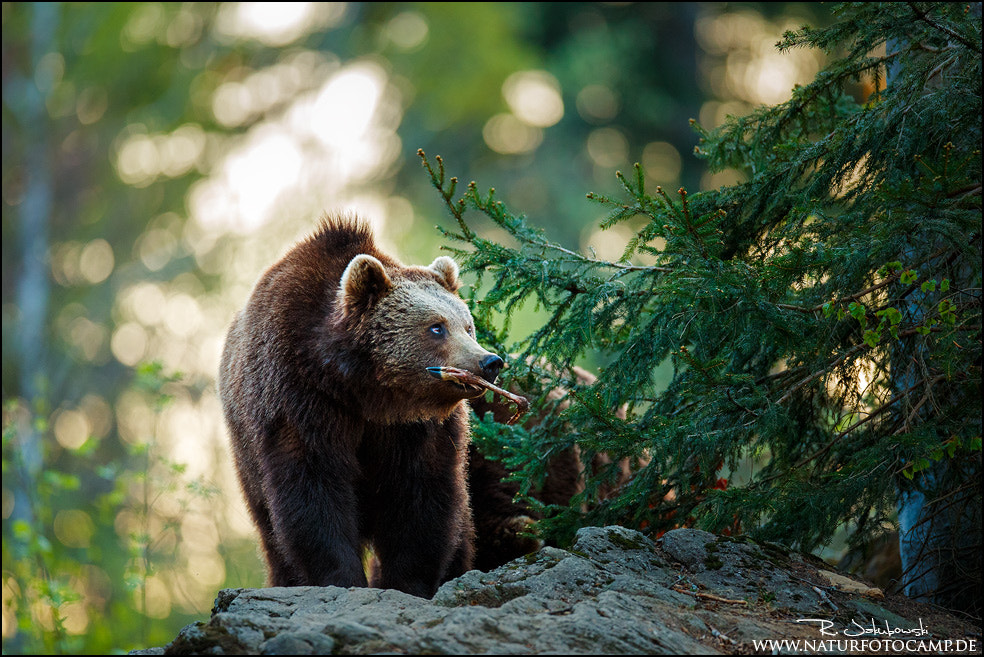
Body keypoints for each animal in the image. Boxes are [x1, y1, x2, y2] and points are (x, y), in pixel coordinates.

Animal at [219, 213, 504, 596]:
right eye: (436, 327)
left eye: (468, 326)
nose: (489, 362)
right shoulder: (300, 398)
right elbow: (313, 489)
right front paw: (341, 578)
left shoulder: (417, 428)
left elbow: (422, 496)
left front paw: (406, 582)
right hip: (246, 460)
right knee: (272, 533)